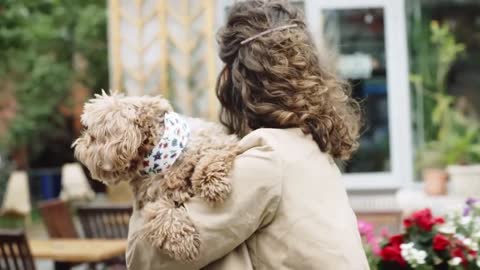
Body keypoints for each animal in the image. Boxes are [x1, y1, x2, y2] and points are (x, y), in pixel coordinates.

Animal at [72, 92, 238, 260]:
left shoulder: (220, 142)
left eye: (92, 135)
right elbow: (161, 212)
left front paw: (212, 185)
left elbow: (210, 156)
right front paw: (182, 242)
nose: (77, 149)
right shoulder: (149, 201)